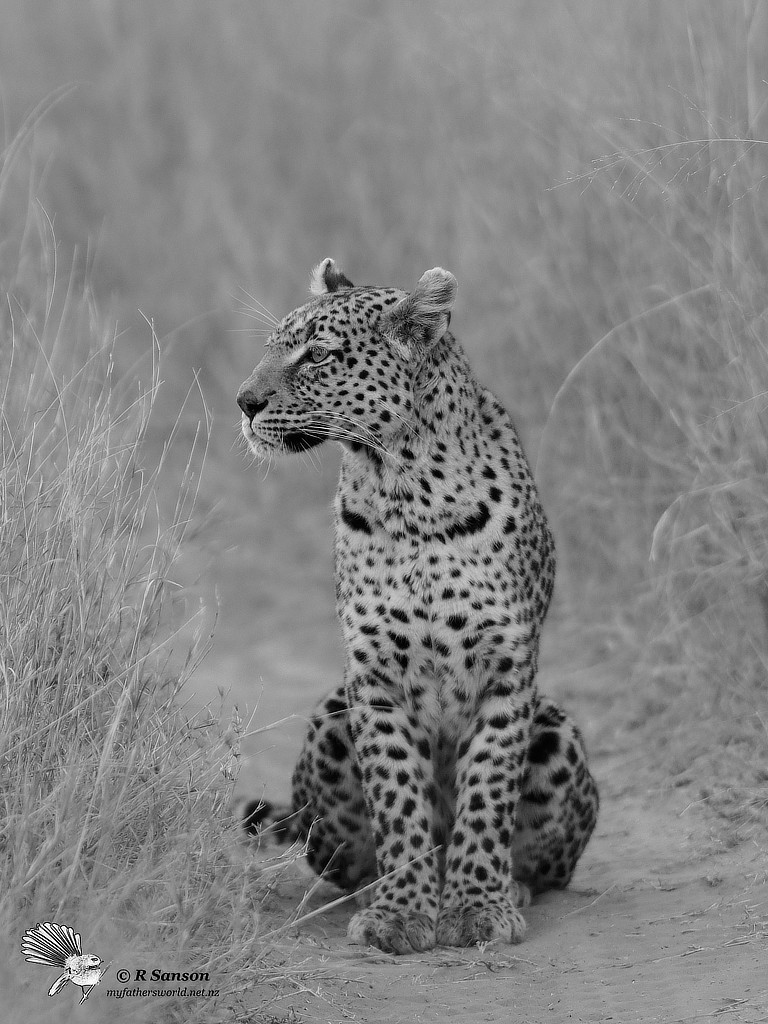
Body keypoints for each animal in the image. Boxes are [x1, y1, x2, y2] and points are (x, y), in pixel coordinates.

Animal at [236, 260, 602, 954]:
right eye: (271, 347)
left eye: (317, 355)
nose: (243, 402)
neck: (407, 488)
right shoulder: (373, 677)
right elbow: (397, 797)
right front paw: (401, 912)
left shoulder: (506, 669)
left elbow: (487, 790)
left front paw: (478, 906)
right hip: (330, 718)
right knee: (340, 858)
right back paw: (376, 888)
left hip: (556, 729)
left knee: (548, 868)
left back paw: (508, 887)